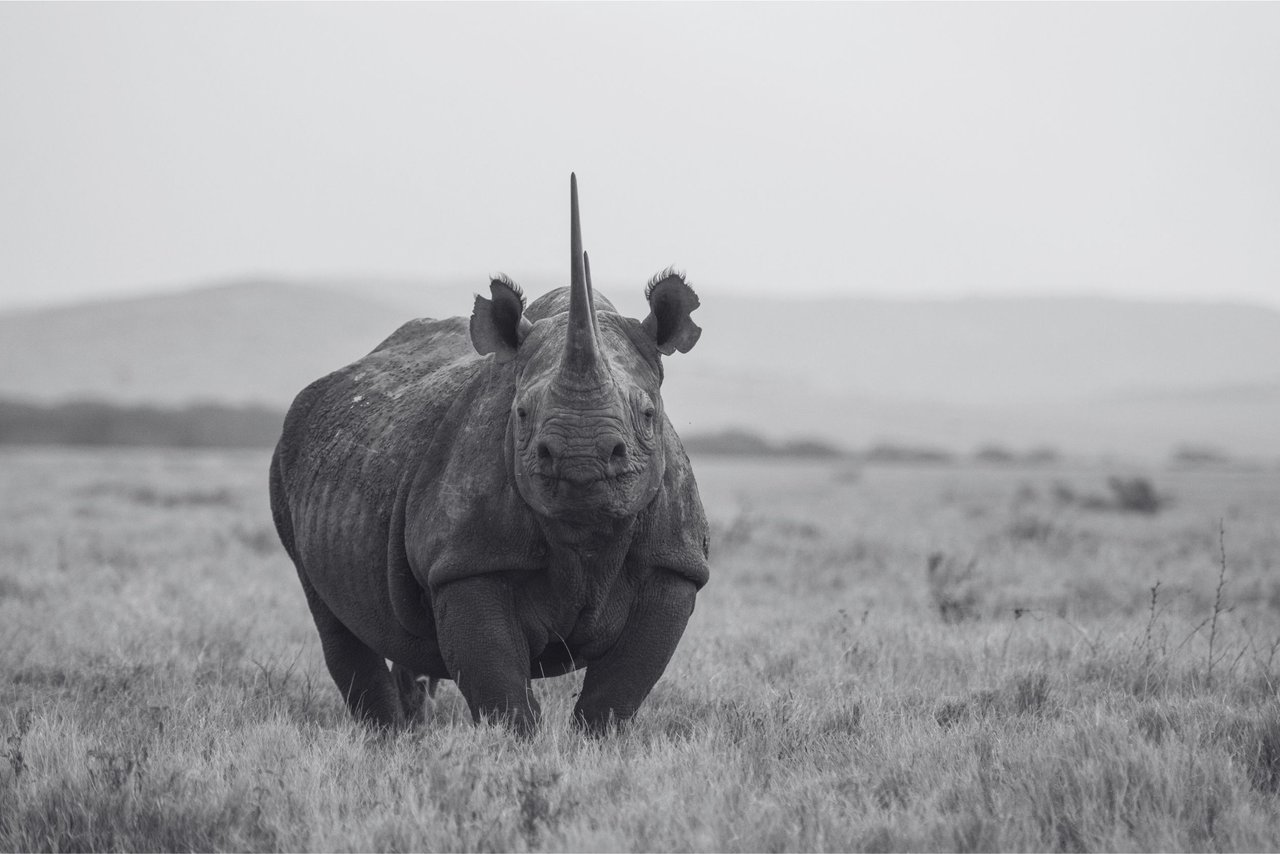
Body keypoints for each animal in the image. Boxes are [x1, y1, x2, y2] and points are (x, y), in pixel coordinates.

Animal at [271, 175, 711, 737]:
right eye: (520, 414)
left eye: (649, 415)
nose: (580, 460)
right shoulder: (468, 561)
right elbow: (501, 690)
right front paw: (514, 750)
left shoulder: (673, 563)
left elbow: (618, 693)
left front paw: (597, 747)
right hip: (286, 461)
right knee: (333, 617)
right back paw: (386, 739)